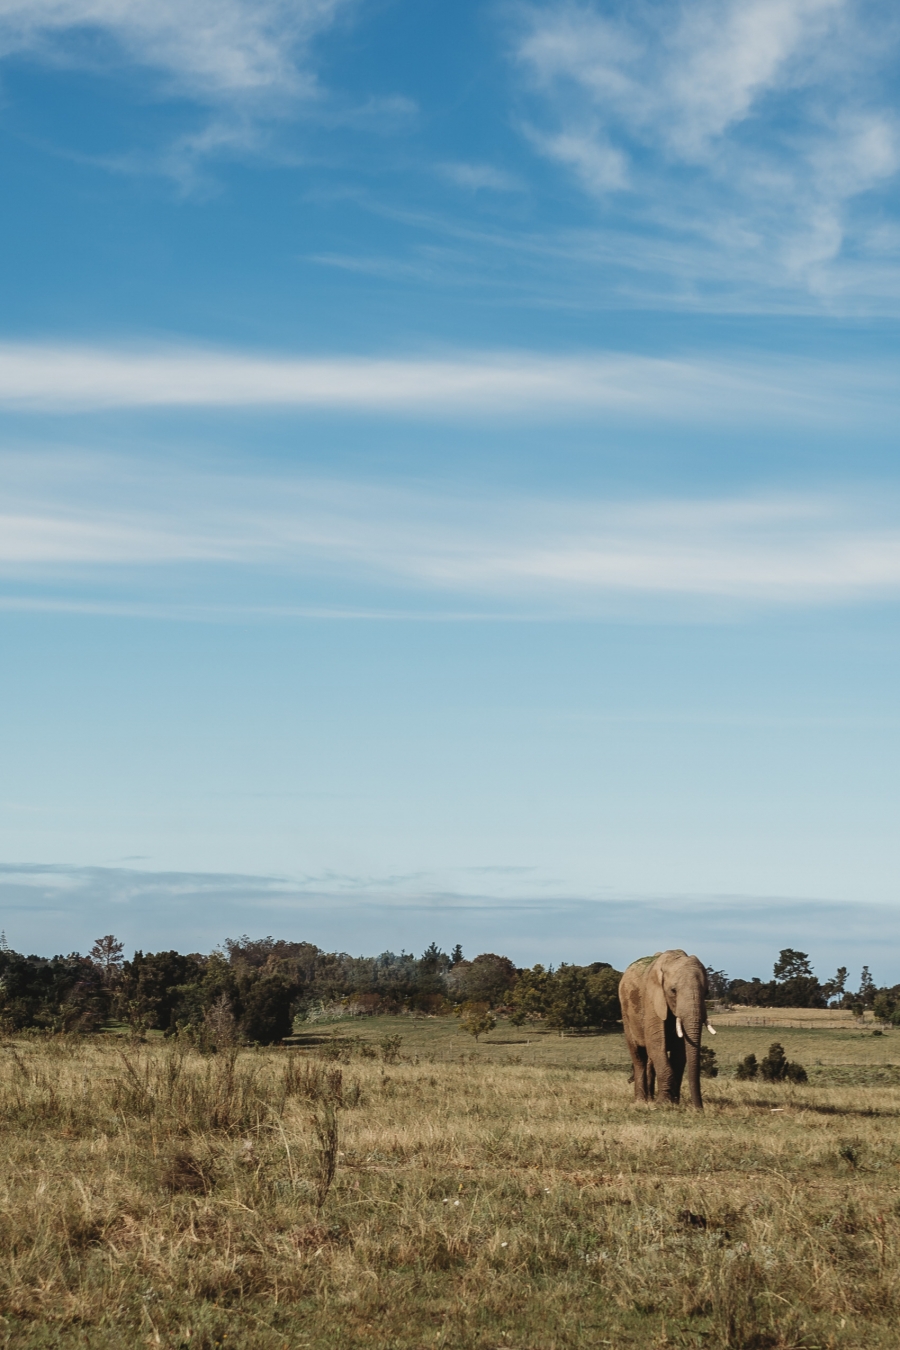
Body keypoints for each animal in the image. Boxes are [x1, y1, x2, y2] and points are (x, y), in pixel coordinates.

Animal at [615, 950, 712, 1107]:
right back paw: (641, 1102)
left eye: (707, 992)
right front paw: (663, 1104)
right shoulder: (652, 999)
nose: (699, 1109)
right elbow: (656, 1045)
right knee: (639, 1057)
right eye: (673, 991)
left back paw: (650, 1099)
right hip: (626, 1014)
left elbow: (680, 1053)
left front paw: (674, 1103)